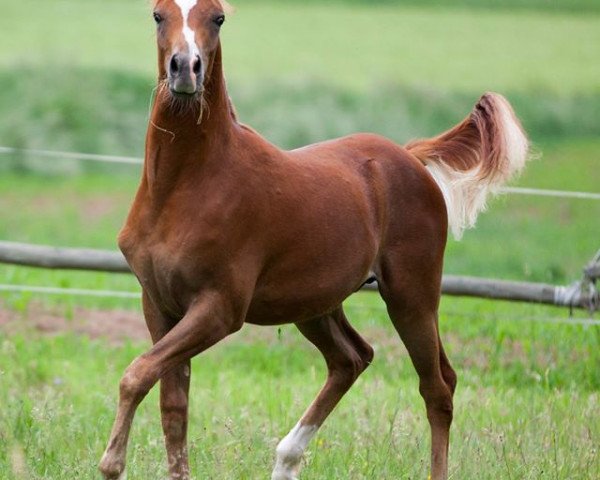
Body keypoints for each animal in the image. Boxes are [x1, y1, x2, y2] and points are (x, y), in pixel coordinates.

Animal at [98, 0, 528, 480]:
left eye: (218, 18)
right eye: (158, 15)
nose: (185, 70)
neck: (184, 186)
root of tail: (410, 156)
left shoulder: (219, 309)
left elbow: (136, 374)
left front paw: (111, 462)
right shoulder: (158, 303)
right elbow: (172, 406)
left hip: (412, 296)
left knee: (437, 387)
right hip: (316, 304)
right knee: (353, 358)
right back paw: (286, 460)